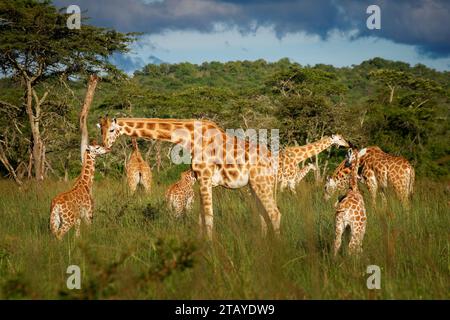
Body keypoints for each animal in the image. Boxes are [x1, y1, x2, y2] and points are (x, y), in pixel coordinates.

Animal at [100, 116, 280, 239]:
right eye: (100, 129)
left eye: (111, 130)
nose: (105, 146)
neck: (191, 137)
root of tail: (273, 160)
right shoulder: (201, 180)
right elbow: (201, 217)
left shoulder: (205, 178)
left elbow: (208, 217)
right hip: (254, 185)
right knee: (263, 215)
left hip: (262, 182)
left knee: (275, 213)